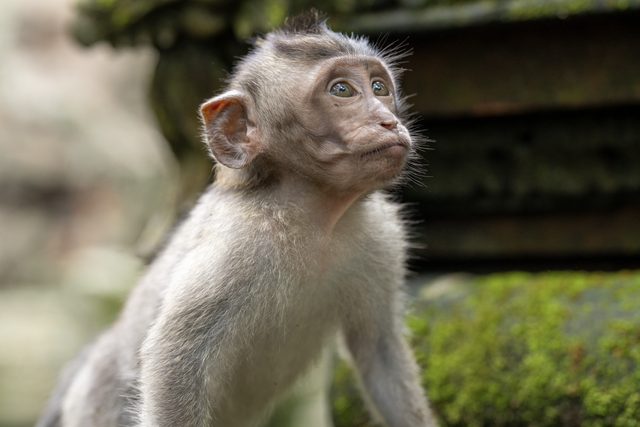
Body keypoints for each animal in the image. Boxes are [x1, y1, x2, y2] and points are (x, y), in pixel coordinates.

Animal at [37, 11, 437, 427]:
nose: (388, 121)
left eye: (379, 87)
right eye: (342, 90)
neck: (316, 216)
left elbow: (379, 351)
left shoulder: (383, 237)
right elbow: (173, 358)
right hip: (96, 405)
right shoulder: (234, 247)